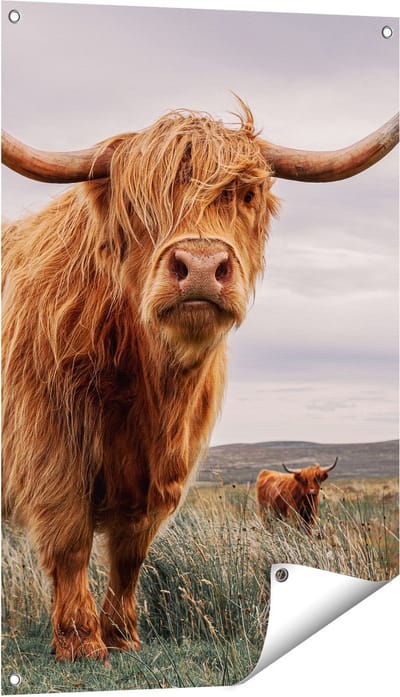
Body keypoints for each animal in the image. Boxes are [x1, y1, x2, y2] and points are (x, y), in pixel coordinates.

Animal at [1, 101, 398, 663]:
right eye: (136, 202)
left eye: (247, 194)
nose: (203, 267)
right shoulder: (50, 445)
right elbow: (71, 537)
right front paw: (81, 641)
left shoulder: (164, 466)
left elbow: (131, 552)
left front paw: (123, 635)